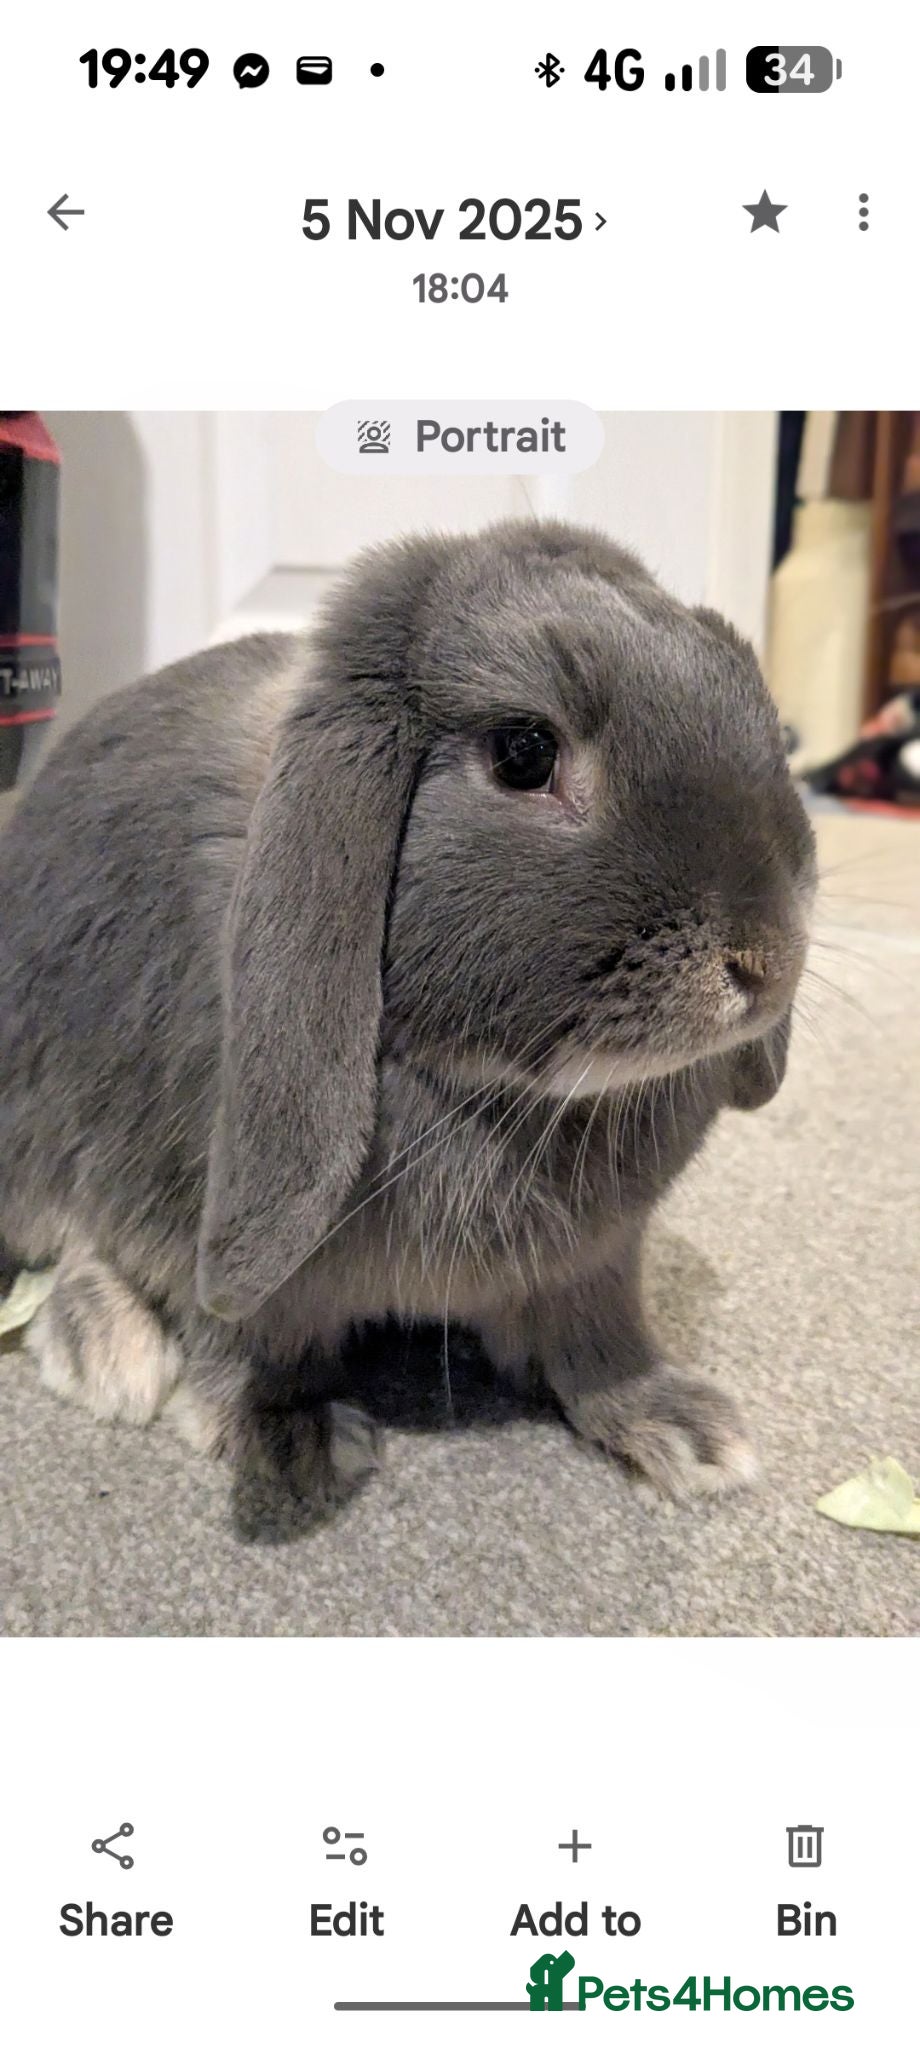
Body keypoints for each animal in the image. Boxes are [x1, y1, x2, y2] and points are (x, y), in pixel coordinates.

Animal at [0, 520, 815, 1539]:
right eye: (523, 753)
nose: (764, 960)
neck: (492, 1095)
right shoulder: (219, 1231)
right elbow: (248, 1335)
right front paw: (295, 1441)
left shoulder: (595, 1262)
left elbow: (602, 1340)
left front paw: (685, 1429)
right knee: (70, 1234)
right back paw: (105, 1352)